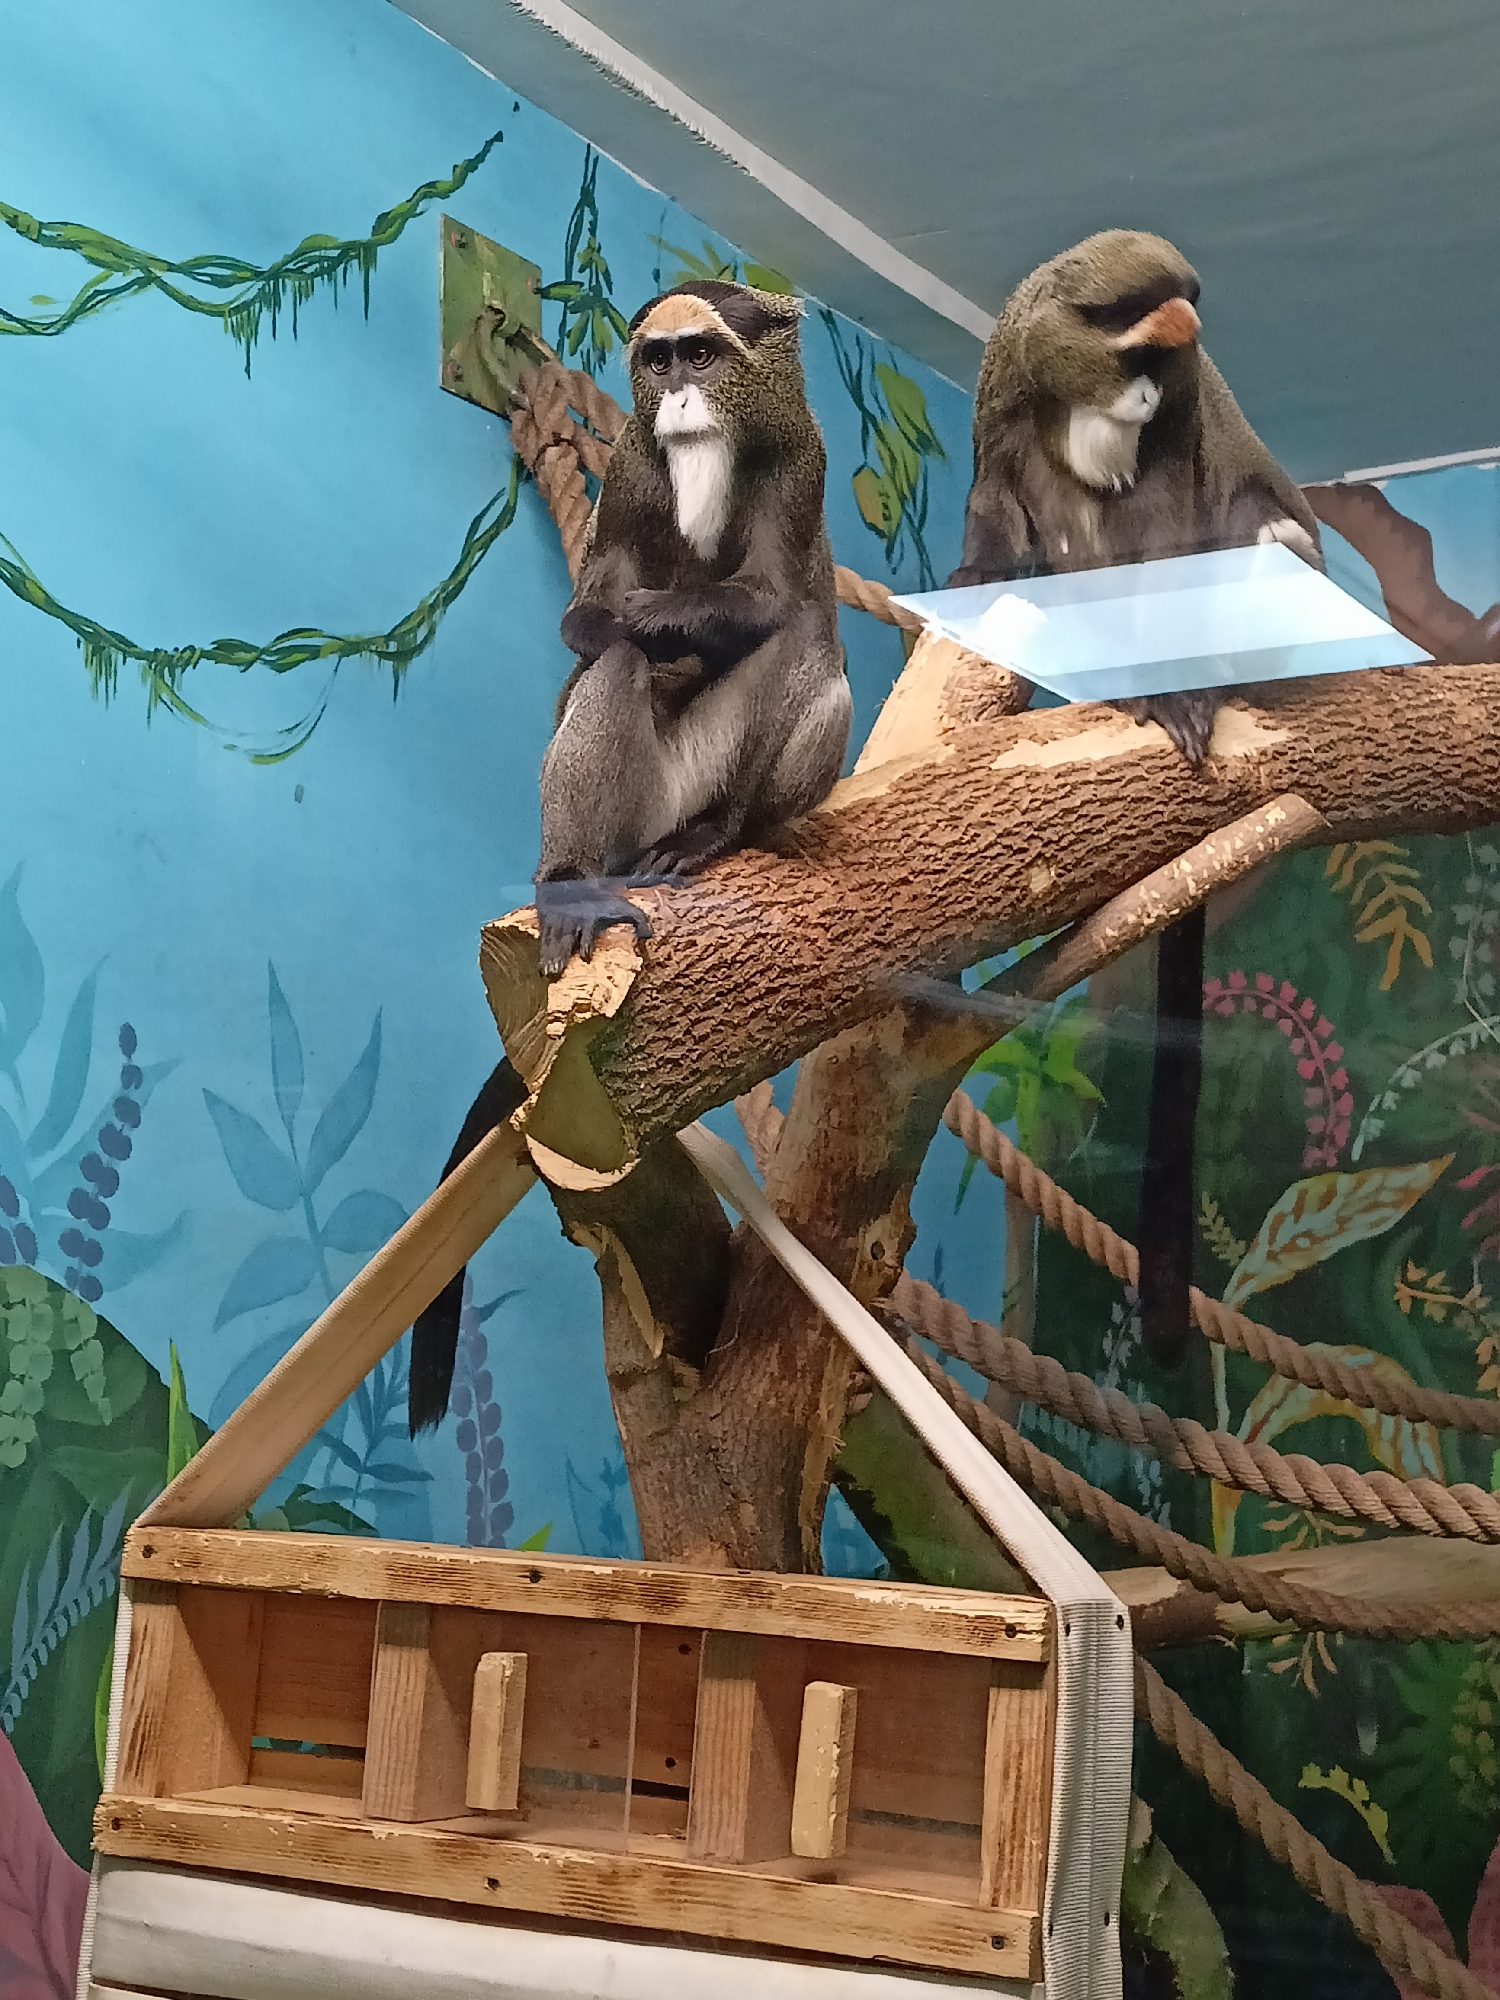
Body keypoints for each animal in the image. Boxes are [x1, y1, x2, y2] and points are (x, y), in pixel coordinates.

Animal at [407, 280, 851, 1437]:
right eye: (659, 361)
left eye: (707, 354)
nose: (682, 397)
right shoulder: (632, 470)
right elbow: (594, 616)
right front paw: (616, 618)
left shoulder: (802, 461)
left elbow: (773, 598)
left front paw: (675, 615)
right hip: (631, 800)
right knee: (612, 670)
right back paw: (576, 882)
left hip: (719, 783)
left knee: (806, 647)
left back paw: (718, 834)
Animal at [948, 231, 1322, 1366]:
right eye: (1134, 356)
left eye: (1167, 370)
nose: (1150, 399)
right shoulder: (1004, 390)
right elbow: (998, 508)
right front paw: (976, 576)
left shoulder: (1187, 431)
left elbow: (1180, 529)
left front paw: (1184, 692)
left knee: (1259, 532)